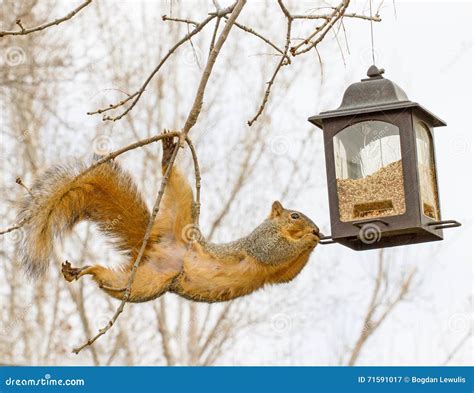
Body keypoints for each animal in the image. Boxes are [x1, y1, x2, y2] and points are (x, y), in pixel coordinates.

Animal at [18, 135, 322, 304]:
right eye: (294, 215)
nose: (317, 228)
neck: (279, 228)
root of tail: (155, 245)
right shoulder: (260, 241)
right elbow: (273, 251)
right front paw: (309, 239)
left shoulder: (277, 275)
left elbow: (288, 273)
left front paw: (316, 239)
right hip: (181, 209)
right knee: (175, 182)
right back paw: (167, 156)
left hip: (144, 283)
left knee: (112, 282)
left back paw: (83, 270)